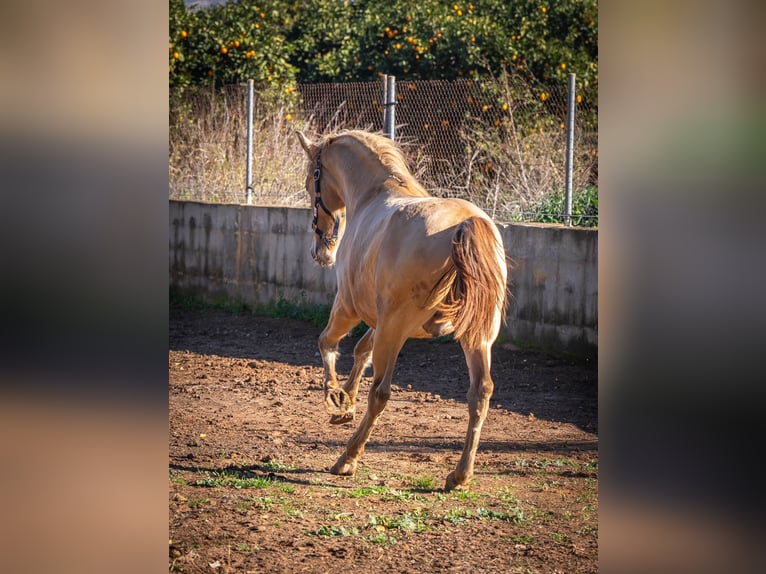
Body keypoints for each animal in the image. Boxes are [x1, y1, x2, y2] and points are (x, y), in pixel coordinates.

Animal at [298, 132, 510, 496]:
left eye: (313, 181)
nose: (320, 250)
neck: (371, 194)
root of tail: (466, 224)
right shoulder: (382, 321)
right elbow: (360, 350)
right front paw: (345, 403)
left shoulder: (351, 307)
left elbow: (327, 342)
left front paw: (336, 399)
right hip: (475, 337)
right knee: (480, 392)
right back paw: (459, 475)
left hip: (394, 329)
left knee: (381, 392)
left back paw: (347, 460)